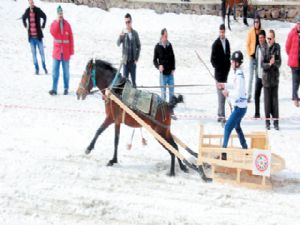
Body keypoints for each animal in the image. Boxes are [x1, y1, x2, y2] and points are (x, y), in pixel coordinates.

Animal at [76, 59, 210, 180]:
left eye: (84, 75)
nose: (78, 93)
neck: (115, 90)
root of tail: (167, 105)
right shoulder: (117, 121)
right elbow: (115, 140)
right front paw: (113, 159)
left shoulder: (111, 118)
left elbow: (100, 131)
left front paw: (89, 149)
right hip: (165, 131)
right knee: (175, 146)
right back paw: (183, 167)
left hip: (159, 133)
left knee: (172, 149)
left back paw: (173, 171)